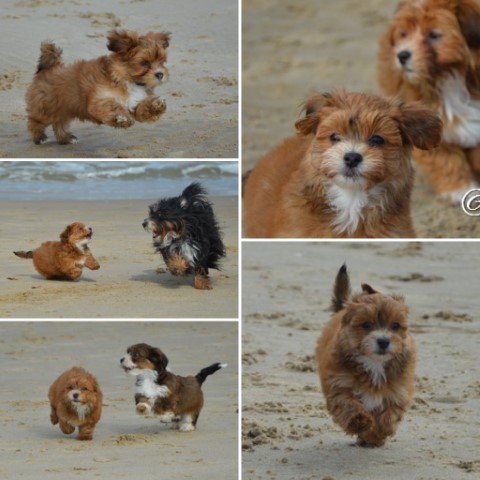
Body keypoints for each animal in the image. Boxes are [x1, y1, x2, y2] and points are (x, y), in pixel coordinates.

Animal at [25, 28, 171, 143]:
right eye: (144, 63)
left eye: (162, 62)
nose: (160, 74)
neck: (127, 80)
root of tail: (49, 68)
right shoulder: (100, 98)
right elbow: (112, 106)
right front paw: (121, 117)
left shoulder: (134, 102)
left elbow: (142, 109)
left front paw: (156, 105)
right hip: (47, 108)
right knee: (35, 120)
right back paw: (39, 137)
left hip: (64, 108)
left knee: (60, 122)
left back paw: (65, 138)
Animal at [316, 262, 416, 446]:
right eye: (366, 324)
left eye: (395, 325)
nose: (383, 341)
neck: (374, 363)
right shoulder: (339, 385)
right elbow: (348, 404)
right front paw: (360, 421)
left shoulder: (397, 392)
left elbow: (388, 417)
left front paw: (375, 435)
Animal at [378, 0, 480, 202]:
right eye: (404, 34)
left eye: (434, 35)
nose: (402, 55)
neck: (450, 77)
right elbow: (445, 159)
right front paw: (458, 188)